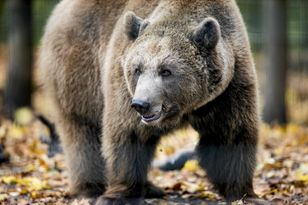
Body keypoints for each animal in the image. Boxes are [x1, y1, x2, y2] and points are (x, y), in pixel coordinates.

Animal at [39, 0, 258, 203]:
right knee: (82, 131)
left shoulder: (227, 90)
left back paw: (151, 187)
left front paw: (244, 194)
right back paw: (90, 189)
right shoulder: (122, 84)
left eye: (166, 71)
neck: (185, 107)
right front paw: (119, 195)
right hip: (79, 71)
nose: (141, 104)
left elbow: (231, 136)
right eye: (137, 68)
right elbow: (128, 134)